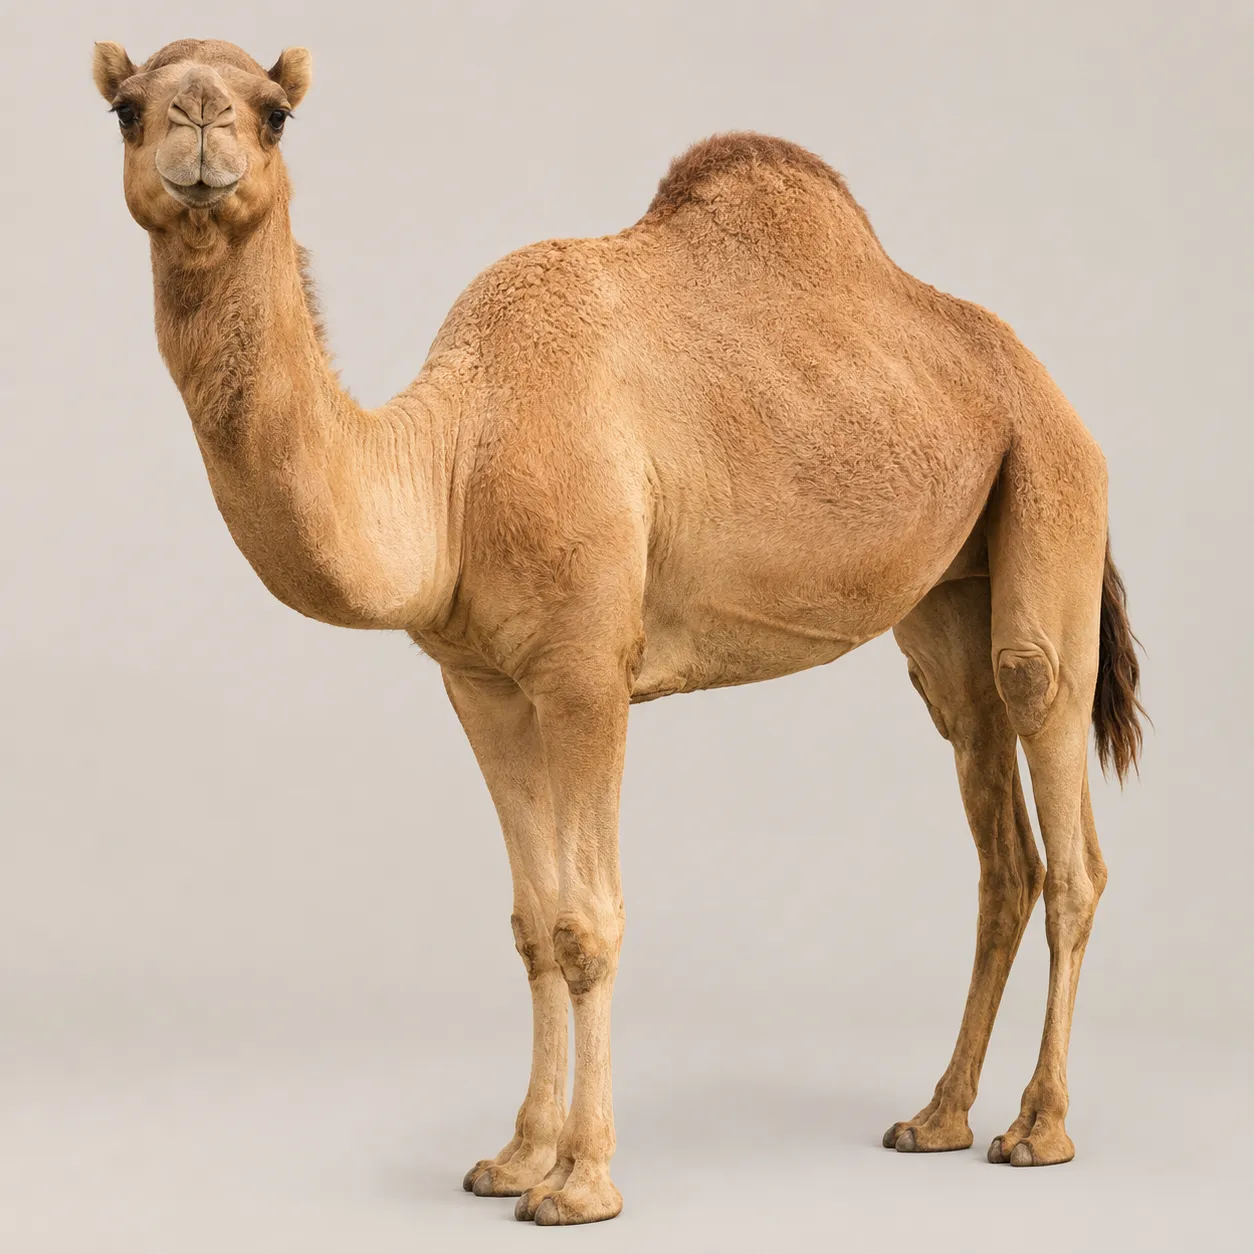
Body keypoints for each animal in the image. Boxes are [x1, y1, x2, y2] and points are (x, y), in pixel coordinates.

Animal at [92, 39, 1145, 1227]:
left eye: (275, 111)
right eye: (126, 107)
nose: (198, 123)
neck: (457, 458)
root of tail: (1051, 390)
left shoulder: (590, 669)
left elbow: (589, 922)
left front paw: (581, 1181)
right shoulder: (483, 684)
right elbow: (533, 923)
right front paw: (513, 1157)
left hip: (1050, 488)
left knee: (1059, 790)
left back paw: (1038, 1128)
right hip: (949, 591)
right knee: (994, 821)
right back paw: (938, 1116)